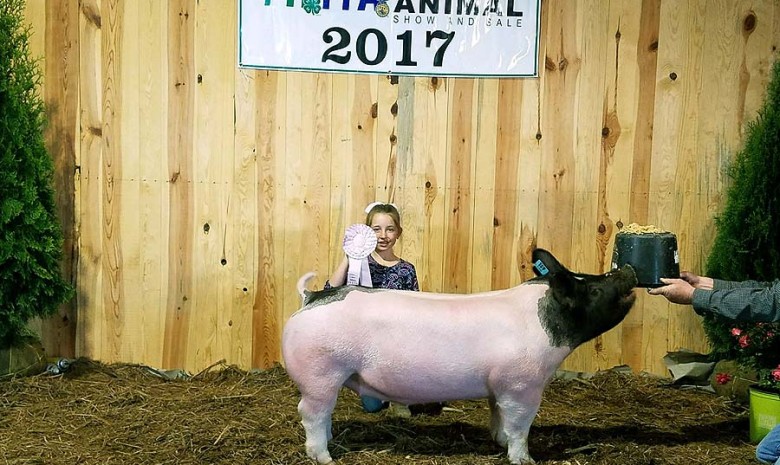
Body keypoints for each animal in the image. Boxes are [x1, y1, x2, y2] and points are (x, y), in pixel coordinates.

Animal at [284, 248, 636, 462]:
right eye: (591, 290)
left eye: (590, 276)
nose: (627, 270)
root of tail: (311, 298)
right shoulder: (522, 385)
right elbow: (520, 424)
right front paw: (525, 459)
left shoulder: (498, 387)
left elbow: (499, 417)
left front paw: (498, 441)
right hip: (320, 373)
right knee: (310, 413)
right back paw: (325, 458)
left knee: (323, 415)